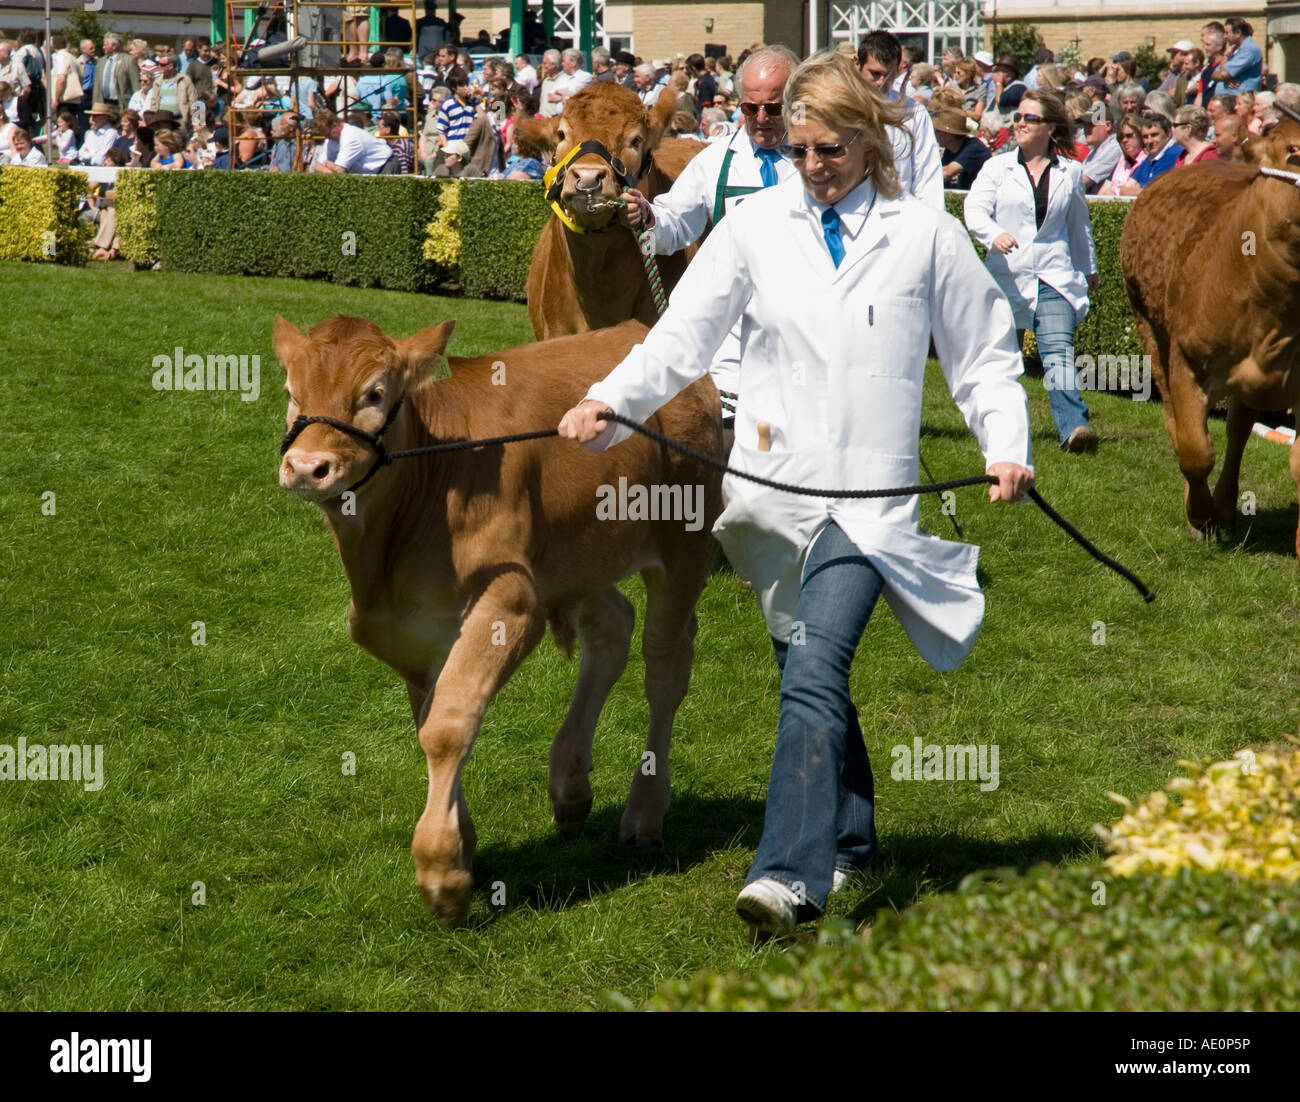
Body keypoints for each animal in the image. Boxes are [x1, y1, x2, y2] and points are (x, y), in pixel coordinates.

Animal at [276, 311, 722, 920]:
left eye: (374, 393)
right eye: (290, 393)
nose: (305, 467)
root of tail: (637, 327)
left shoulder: (511, 600)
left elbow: (447, 728)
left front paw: (441, 870)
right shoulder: (415, 635)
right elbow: (433, 722)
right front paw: (462, 847)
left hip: (683, 545)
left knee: (665, 670)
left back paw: (644, 812)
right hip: (573, 556)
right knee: (611, 628)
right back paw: (571, 787)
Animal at [1118, 148, 1300, 551]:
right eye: (1292, 151)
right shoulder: (1188, 362)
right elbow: (1195, 451)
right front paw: (1201, 518)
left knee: (1239, 429)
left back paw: (1227, 505)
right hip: (1150, 331)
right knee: (1177, 423)